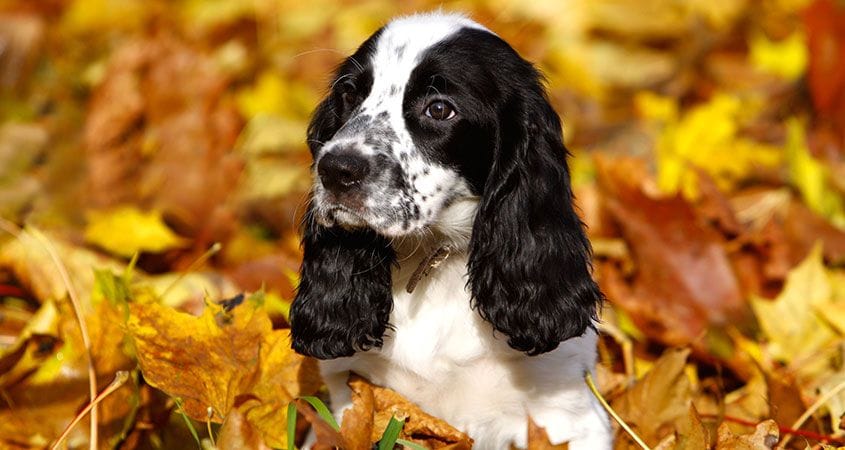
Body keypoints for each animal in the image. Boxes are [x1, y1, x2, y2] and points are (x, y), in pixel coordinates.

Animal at [288, 12, 608, 448]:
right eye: (349, 94)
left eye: (439, 109)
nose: (336, 170)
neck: (433, 260)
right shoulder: (348, 403)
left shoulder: (564, 415)